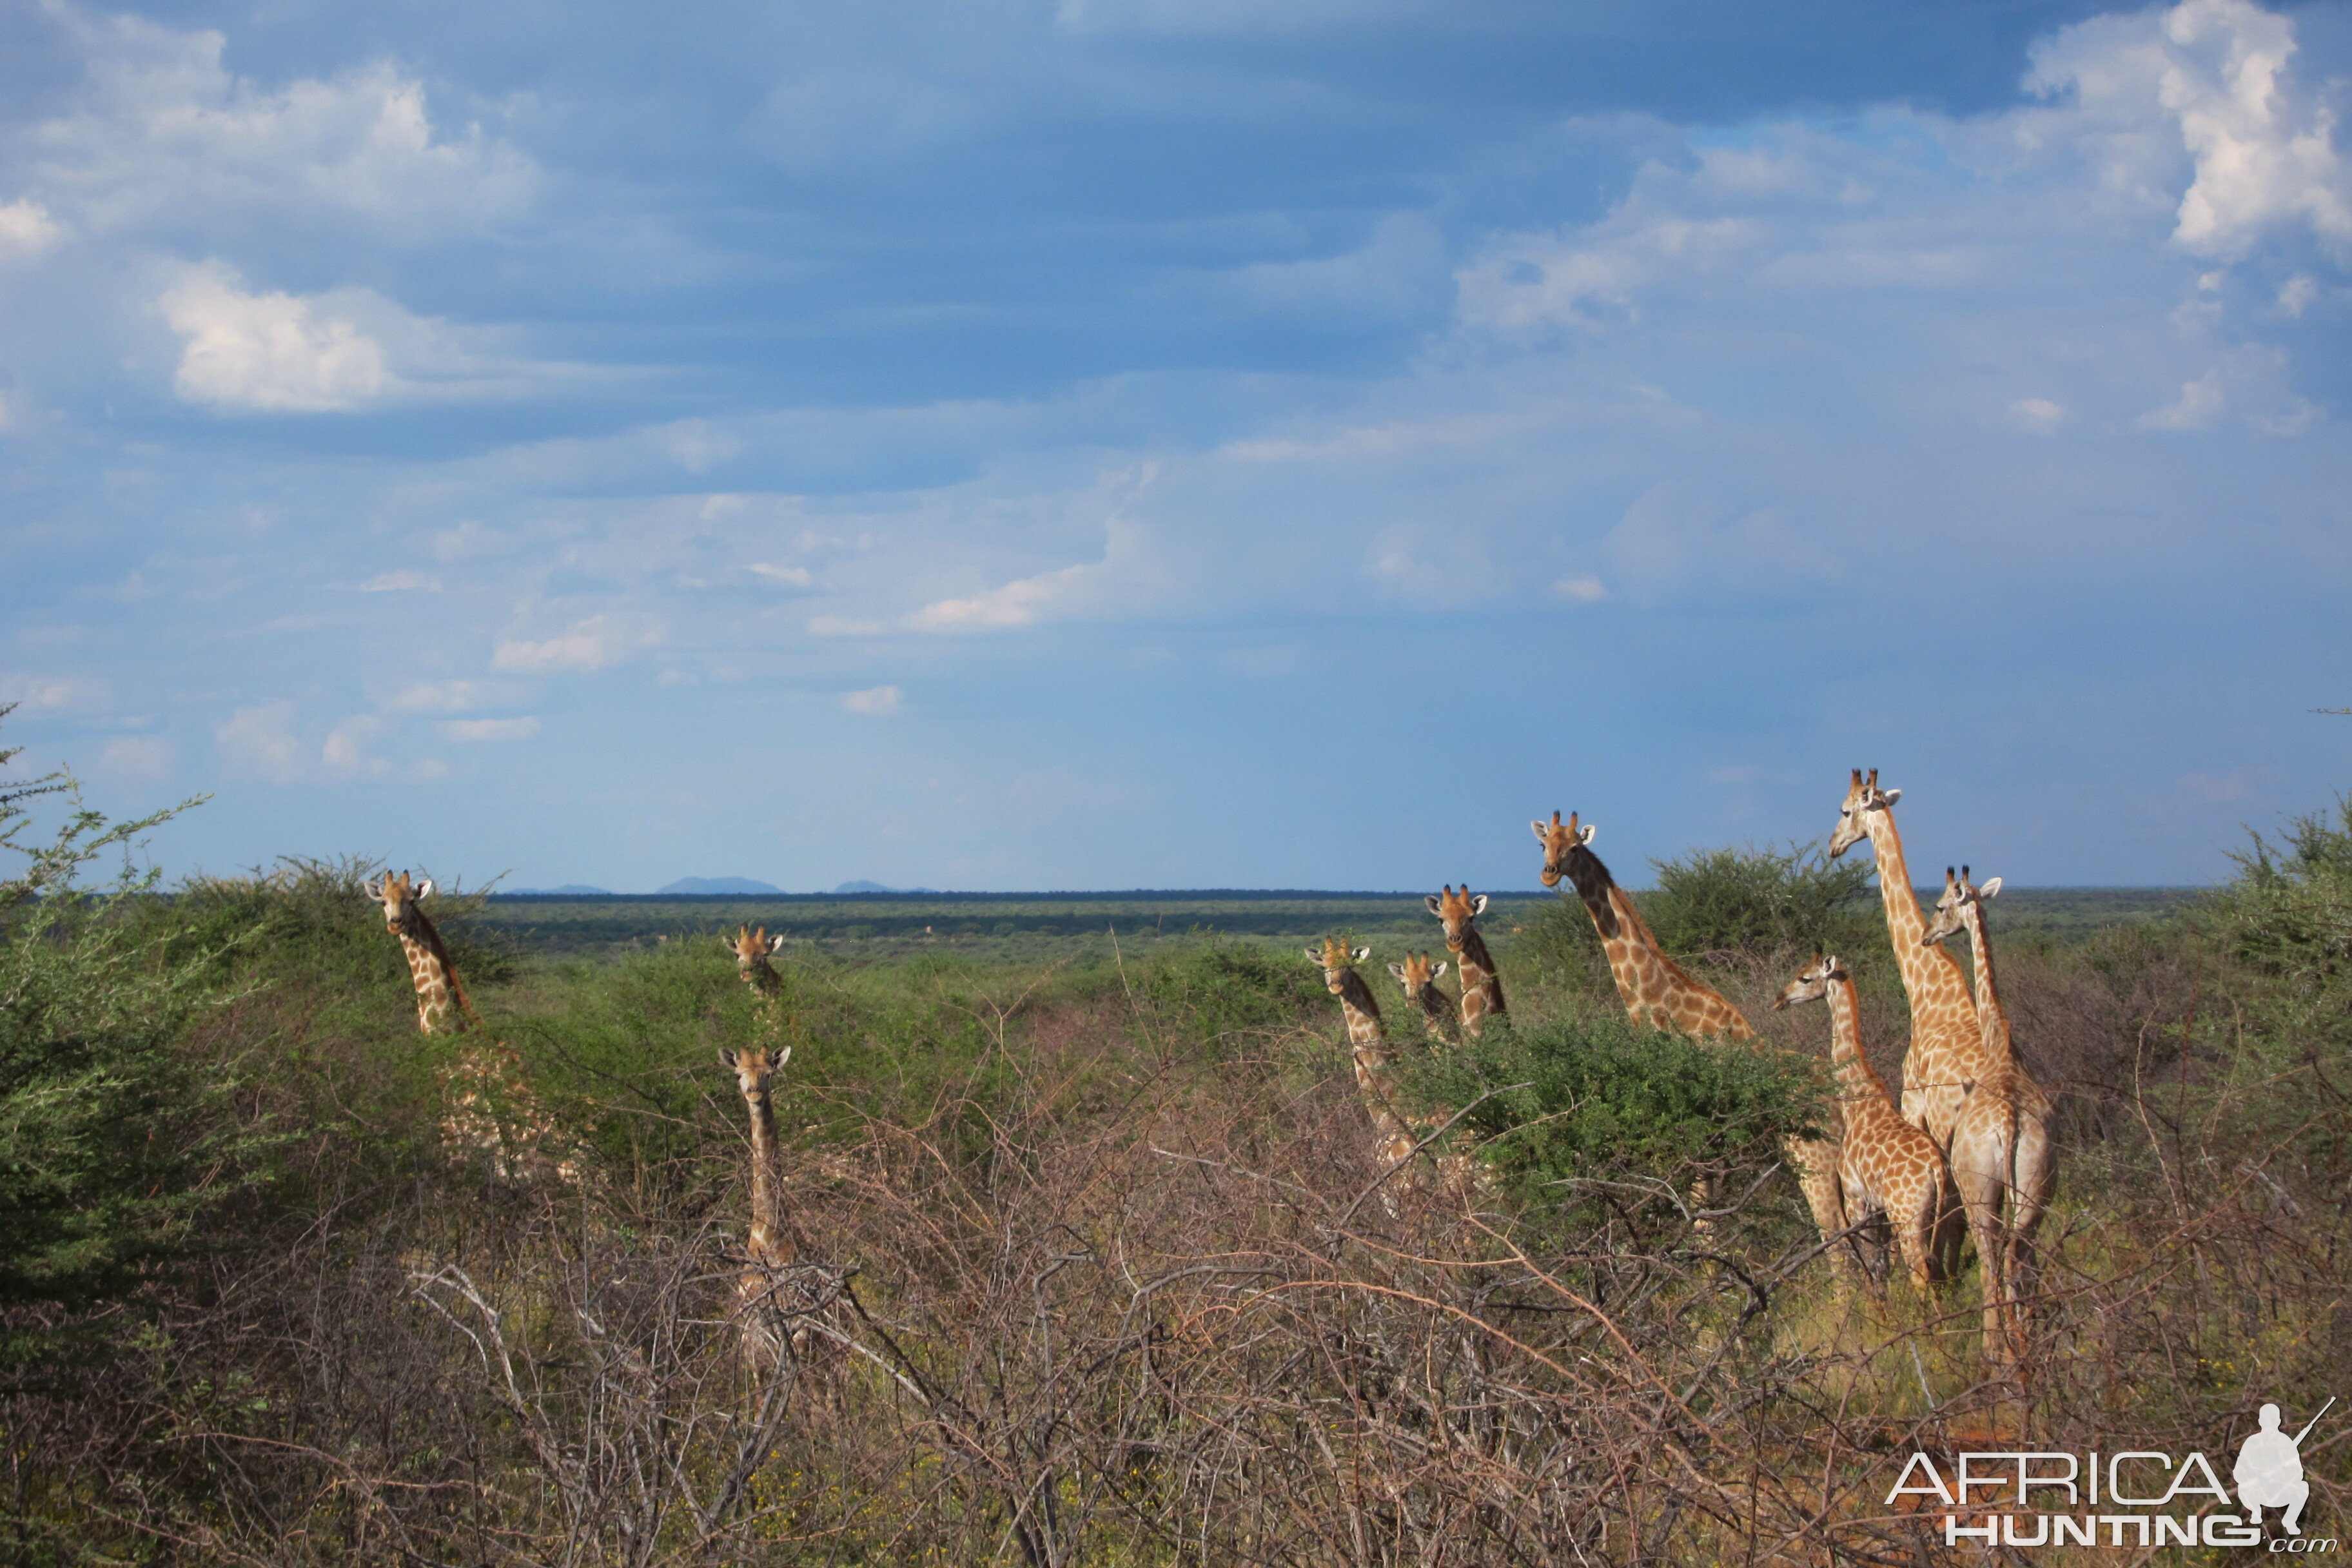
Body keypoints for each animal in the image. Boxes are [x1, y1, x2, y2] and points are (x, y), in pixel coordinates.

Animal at [1533, 823, 1844, 1250]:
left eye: (1575, 848)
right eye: (1543, 844)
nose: (1548, 873)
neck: (1672, 1013)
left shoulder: (1698, 1131)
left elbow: (1702, 1225)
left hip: (1816, 1159)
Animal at [1769, 950, 1957, 1297]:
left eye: (1805, 978)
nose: (1780, 999)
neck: (1856, 1099)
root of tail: (1936, 1168)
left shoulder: (1858, 1197)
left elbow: (1871, 1260)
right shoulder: (1875, 1207)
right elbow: (1882, 1263)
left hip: (1906, 1213)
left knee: (1919, 1271)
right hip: (1939, 1211)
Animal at [1928, 865, 2060, 1382]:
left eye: (1941, 905)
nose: (1927, 935)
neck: (1999, 1044)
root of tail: (2008, 1121)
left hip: (1979, 1190)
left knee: (1991, 1258)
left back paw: (1997, 1353)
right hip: (2033, 1189)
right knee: (2017, 1252)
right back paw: (2024, 1345)